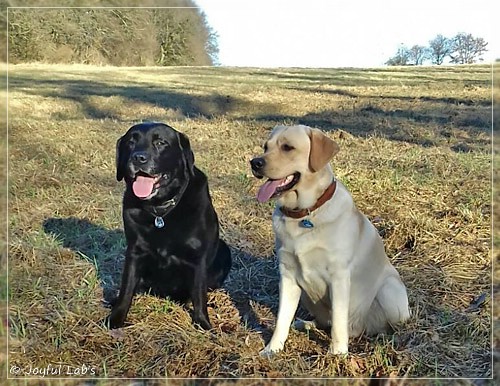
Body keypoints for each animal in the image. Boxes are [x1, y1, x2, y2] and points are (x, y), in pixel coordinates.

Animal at [108, 122, 232, 330]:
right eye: (131, 142)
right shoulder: (134, 251)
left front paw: (203, 323)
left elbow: (199, 294)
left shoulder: (197, 258)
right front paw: (116, 317)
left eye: (160, 143)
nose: (139, 158)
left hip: (225, 250)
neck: (160, 211)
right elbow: (127, 288)